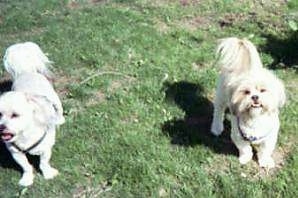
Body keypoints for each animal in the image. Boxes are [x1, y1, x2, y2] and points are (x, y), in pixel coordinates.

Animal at [0, 41, 64, 186]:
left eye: (15, 115)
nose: (1, 127)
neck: (25, 134)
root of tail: (27, 72)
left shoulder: (46, 148)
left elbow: (44, 163)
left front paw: (48, 174)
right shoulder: (15, 153)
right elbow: (26, 166)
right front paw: (27, 179)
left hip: (55, 100)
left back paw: (60, 119)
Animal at [211, 37, 286, 169]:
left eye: (263, 90)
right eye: (246, 92)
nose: (255, 97)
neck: (255, 118)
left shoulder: (270, 137)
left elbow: (265, 150)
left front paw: (265, 161)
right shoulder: (237, 134)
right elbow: (245, 149)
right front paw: (245, 159)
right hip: (222, 95)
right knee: (218, 110)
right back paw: (216, 127)